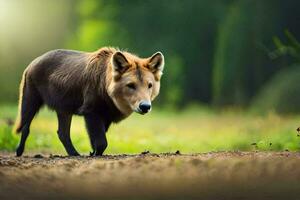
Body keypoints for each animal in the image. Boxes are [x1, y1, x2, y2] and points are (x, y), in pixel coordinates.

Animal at [14, 48, 164, 156]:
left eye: (149, 85)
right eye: (131, 85)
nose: (145, 106)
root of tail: (31, 64)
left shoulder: (105, 115)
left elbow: (97, 139)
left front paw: (93, 152)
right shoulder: (91, 111)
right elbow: (102, 142)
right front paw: (94, 153)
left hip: (64, 108)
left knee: (62, 133)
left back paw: (74, 153)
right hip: (31, 99)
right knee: (25, 127)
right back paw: (19, 151)